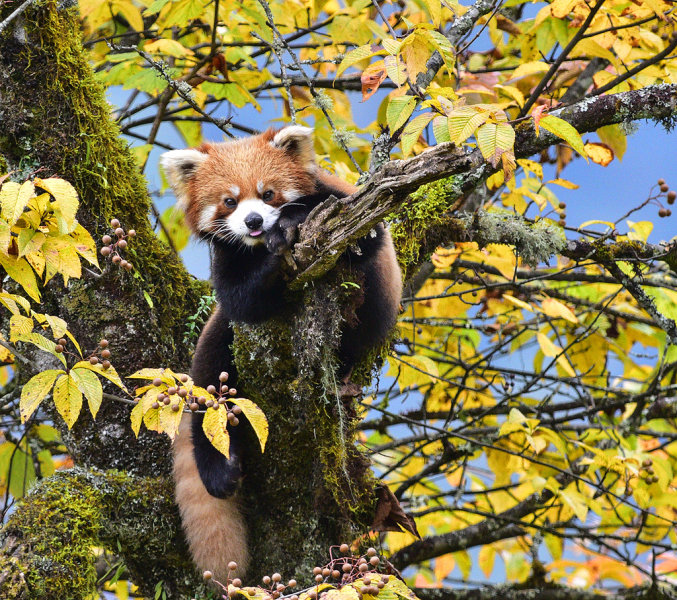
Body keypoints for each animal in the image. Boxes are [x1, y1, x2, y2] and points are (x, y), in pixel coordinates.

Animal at [160, 125, 398, 580]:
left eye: (267, 194)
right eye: (230, 201)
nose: (254, 221)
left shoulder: (345, 205)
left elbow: (364, 236)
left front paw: (289, 223)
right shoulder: (230, 266)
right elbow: (244, 301)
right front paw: (274, 252)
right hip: (218, 343)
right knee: (209, 383)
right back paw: (218, 470)